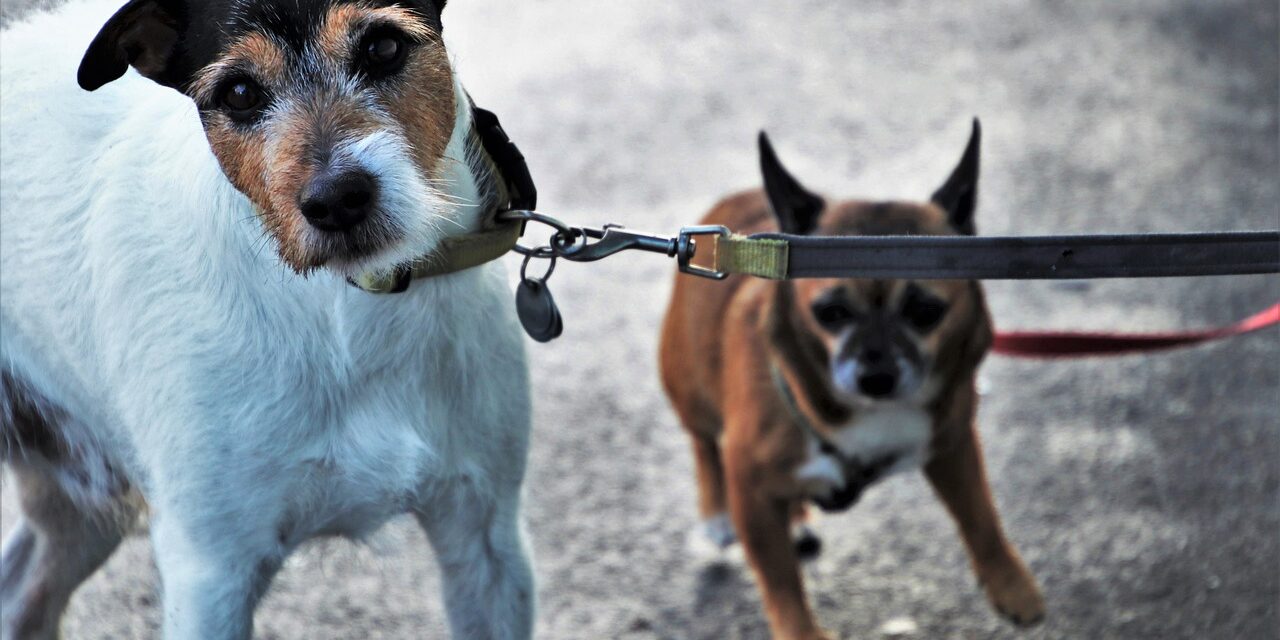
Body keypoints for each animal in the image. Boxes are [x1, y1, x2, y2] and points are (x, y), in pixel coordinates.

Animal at [0, 2, 537, 637]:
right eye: (238, 93)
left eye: (383, 48)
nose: (336, 199)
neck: (348, 304)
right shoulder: (210, 573)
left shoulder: (486, 535)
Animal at [660, 122, 1039, 637]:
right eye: (830, 312)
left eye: (926, 311)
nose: (875, 377)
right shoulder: (751, 490)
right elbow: (781, 581)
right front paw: (801, 632)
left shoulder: (952, 443)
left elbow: (981, 514)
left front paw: (1011, 584)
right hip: (689, 386)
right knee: (703, 443)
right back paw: (718, 515)